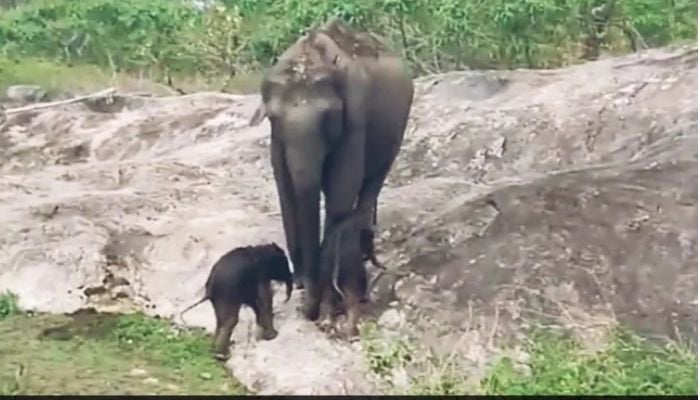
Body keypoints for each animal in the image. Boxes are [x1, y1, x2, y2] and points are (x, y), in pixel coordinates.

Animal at [250, 18, 416, 322]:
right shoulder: (277, 140)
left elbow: (341, 191)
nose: (309, 311)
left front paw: (327, 298)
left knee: (371, 183)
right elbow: (285, 189)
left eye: (328, 118)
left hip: (397, 129)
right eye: (273, 117)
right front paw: (303, 284)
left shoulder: (355, 118)